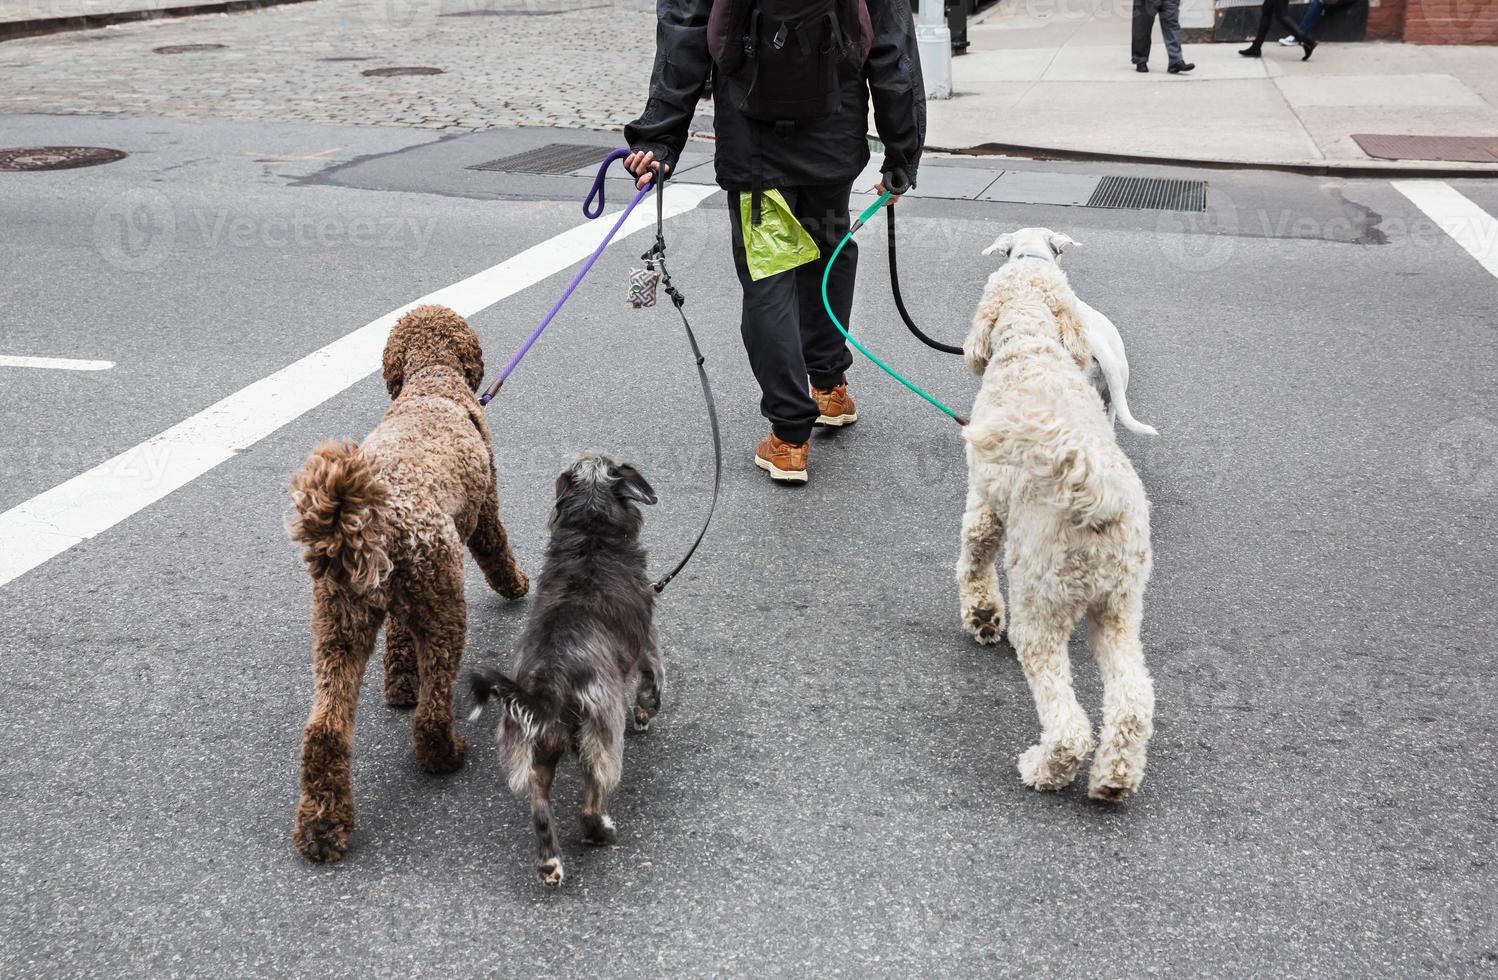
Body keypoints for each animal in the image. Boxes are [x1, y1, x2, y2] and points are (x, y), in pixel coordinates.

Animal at [289, 302, 530, 863]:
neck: (431, 383)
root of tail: (360, 521)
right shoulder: (484, 511)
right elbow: (497, 550)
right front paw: (518, 584)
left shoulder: (399, 597)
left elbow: (398, 641)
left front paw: (399, 685)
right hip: (442, 601)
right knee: (434, 707)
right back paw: (443, 755)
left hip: (342, 621)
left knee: (325, 729)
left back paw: (322, 826)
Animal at [464, 452, 659, 893]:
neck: (591, 536)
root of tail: (548, 683)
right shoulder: (647, 642)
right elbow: (653, 682)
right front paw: (646, 712)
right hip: (601, 736)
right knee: (590, 803)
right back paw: (601, 831)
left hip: (537, 750)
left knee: (540, 810)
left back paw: (550, 864)